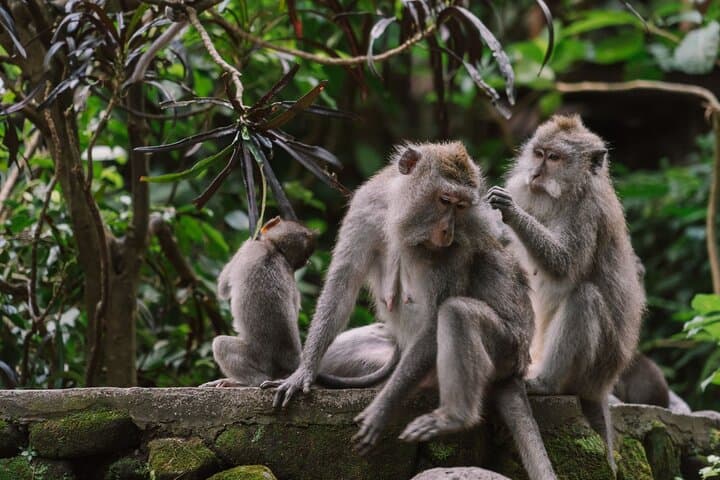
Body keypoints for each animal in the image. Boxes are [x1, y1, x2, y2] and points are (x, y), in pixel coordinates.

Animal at [201, 216, 398, 388]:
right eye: (305, 258)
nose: (309, 262)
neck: (274, 249)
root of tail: (291, 361)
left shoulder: (248, 248)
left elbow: (222, 287)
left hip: (258, 360)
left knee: (220, 345)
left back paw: (245, 382)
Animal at [261, 142, 557, 479]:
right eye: (444, 200)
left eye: (461, 206)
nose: (447, 232)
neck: (399, 214)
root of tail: (518, 369)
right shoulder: (366, 207)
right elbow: (342, 286)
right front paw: (303, 373)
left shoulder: (455, 250)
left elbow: (433, 322)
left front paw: (381, 409)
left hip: (506, 350)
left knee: (457, 313)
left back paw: (453, 416)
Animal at [488, 114, 645, 474]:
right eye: (539, 153)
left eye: (555, 158)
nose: (534, 174)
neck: (565, 194)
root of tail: (603, 386)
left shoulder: (587, 213)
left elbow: (564, 266)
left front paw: (512, 213)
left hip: (596, 368)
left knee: (584, 297)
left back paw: (546, 383)